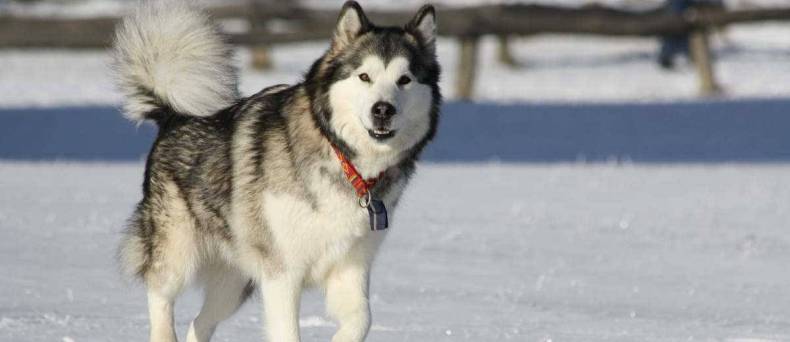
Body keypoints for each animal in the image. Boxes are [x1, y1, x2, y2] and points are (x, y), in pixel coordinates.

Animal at [114, 0, 442, 342]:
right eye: (364, 76)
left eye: (405, 79)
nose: (383, 110)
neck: (343, 159)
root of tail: (174, 116)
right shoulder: (282, 272)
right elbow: (287, 330)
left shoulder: (350, 266)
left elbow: (362, 319)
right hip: (178, 253)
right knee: (160, 293)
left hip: (234, 284)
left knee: (199, 323)